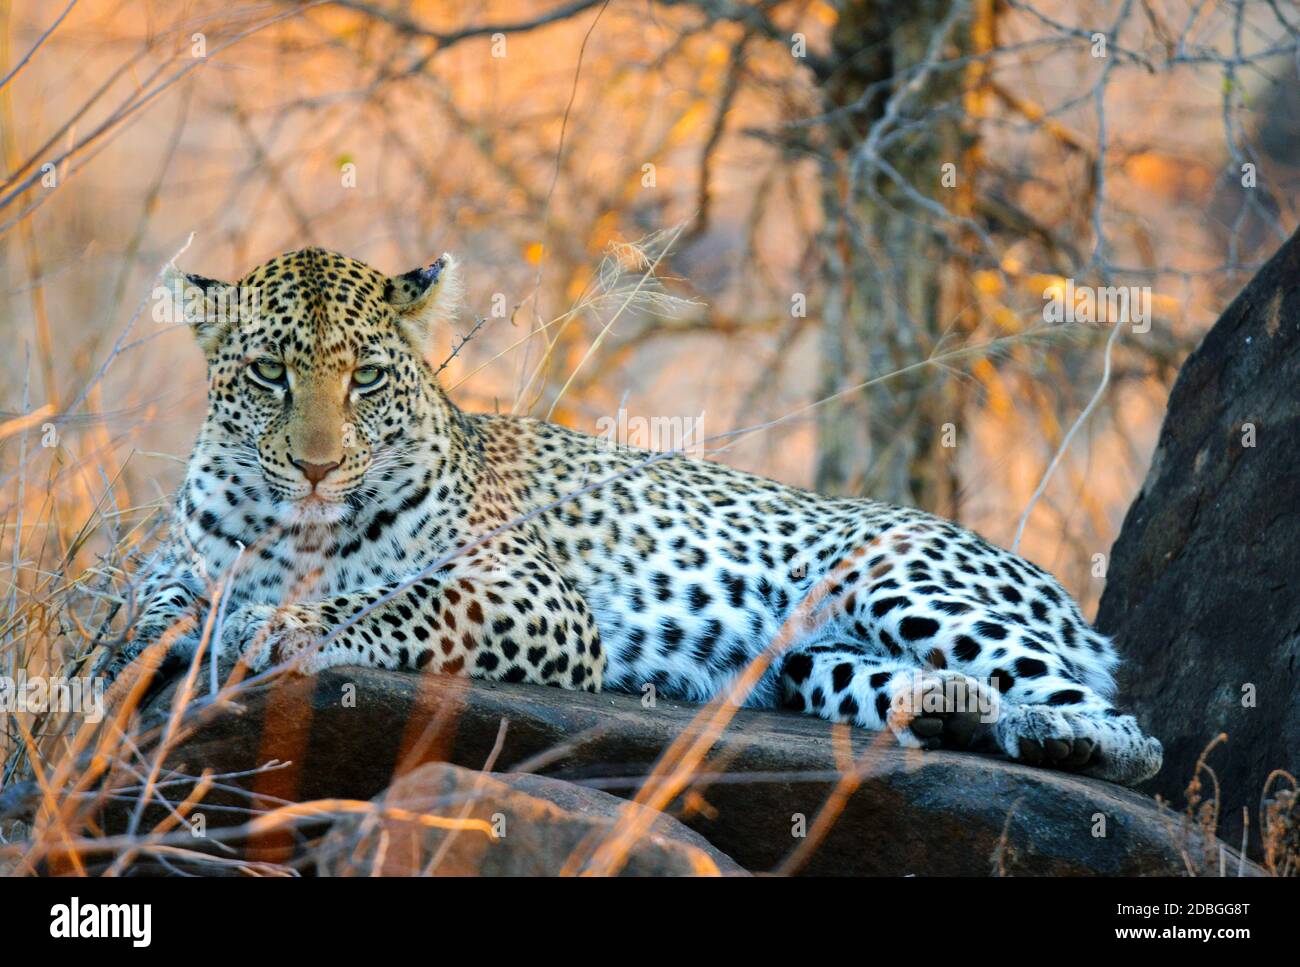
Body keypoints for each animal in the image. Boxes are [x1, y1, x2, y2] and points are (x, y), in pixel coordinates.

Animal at [109, 243, 1170, 785]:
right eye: (267, 373)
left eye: (365, 377)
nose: (319, 465)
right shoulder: (179, 558)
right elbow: (148, 602)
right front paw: (162, 642)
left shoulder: (532, 594)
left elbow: (392, 599)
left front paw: (275, 622)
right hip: (815, 659)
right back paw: (957, 718)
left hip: (902, 580)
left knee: (1133, 731)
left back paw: (1061, 738)